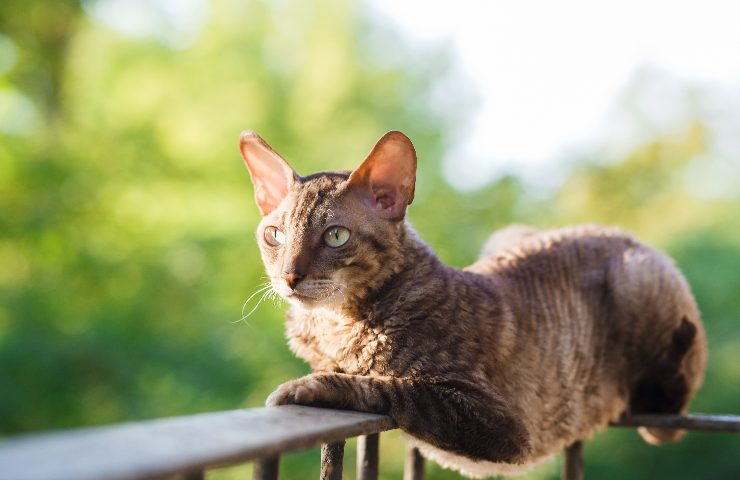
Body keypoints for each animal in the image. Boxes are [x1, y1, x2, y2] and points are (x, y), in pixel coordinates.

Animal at [241, 129, 704, 478]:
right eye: (274, 235)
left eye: (335, 236)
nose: (289, 276)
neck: (334, 325)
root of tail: (626, 236)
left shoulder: (505, 425)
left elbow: (392, 387)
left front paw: (309, 385)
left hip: (638, 280)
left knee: (669, 406)